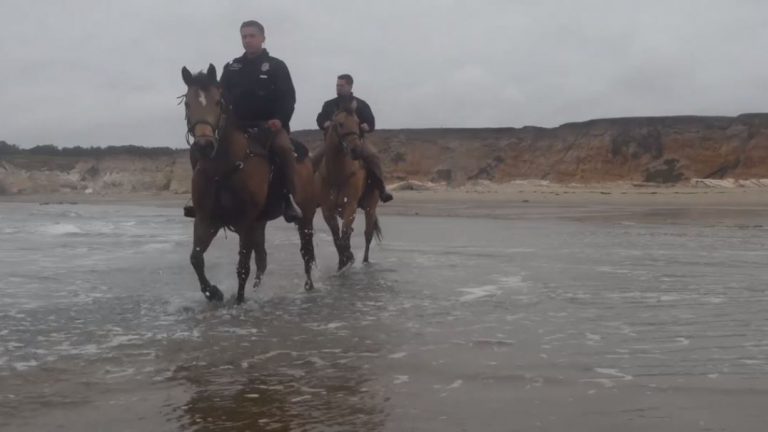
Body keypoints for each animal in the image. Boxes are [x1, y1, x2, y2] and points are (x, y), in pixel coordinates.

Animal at [182, 64, 316, 304]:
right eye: (188, 103)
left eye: (218, 102)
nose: (204, 145)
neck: (223, 168)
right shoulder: (206, 219)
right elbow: (196, 258)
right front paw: (213, 292)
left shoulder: (245, 222)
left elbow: (242, 266)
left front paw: (239, 301)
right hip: (259, 223)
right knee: (262, 259)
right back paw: (256, 290)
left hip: (306, 216)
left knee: (306, 252)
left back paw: (309, 287)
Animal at [316, 97, 380, 270]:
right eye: (340, 124)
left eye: (358, 122)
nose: (356, 150)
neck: (337, 175)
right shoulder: (327, 210)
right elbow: (337, 239)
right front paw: (342, 262)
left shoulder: (350, 206)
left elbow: (344, 237)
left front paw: (348, 259)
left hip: (370, 207)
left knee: (367, 234)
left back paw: (365, 261)